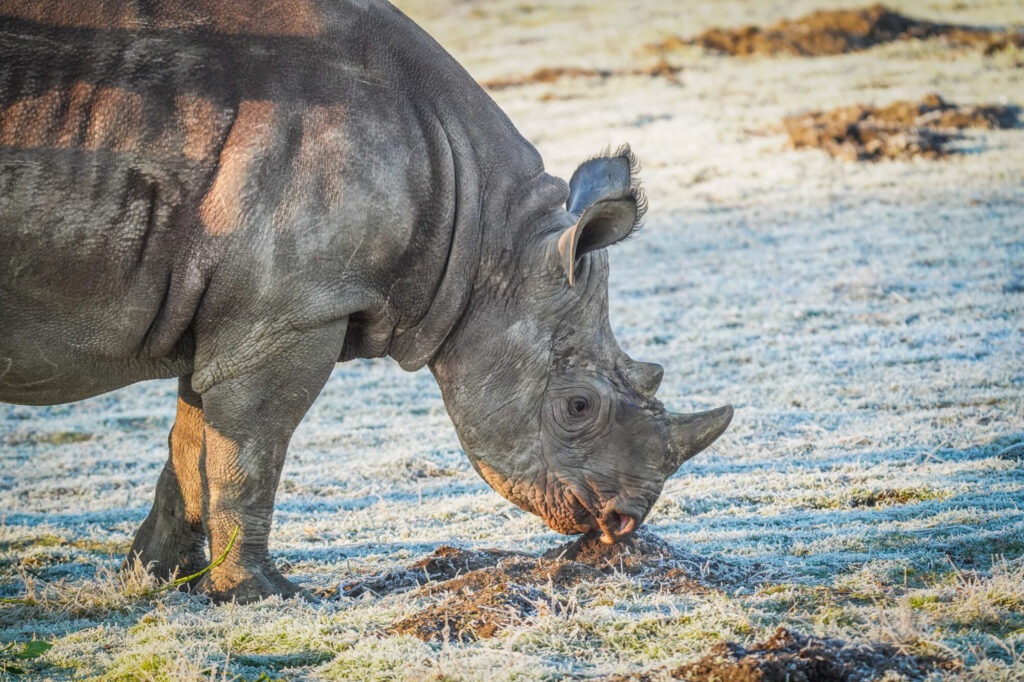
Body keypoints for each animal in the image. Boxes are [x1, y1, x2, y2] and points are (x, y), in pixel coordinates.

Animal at [0, 0, 732, 603]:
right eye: (578, 407)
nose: (624, 522)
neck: (484, 236)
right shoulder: (293, 313)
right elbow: (252, 451)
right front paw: (264, 596)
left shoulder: (235, 315)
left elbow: (190, 448)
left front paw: (156, 581)